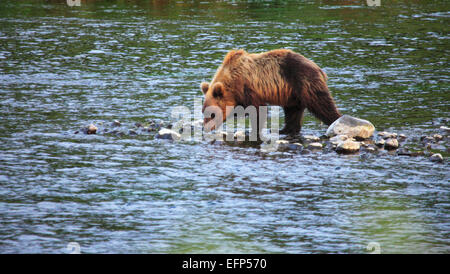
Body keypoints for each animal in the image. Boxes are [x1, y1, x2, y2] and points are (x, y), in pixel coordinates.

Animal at [200, 49, 342, 136]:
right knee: (293, 112)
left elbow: (258, 110)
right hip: (292, 94)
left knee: (322, 104)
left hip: (304, 82)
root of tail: (319, 68)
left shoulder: (249, 89)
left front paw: (253, 130)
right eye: (203, 112)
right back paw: (285, 130)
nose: (206, 128)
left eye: (212, 114)